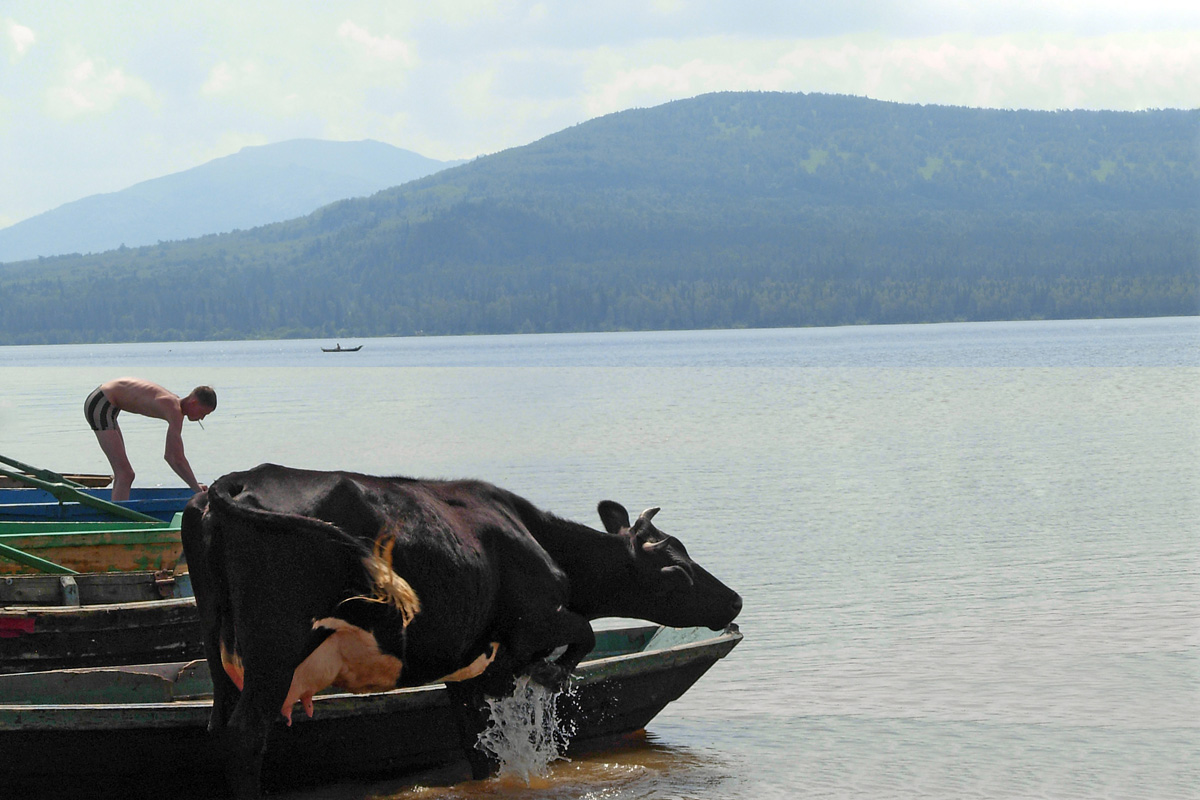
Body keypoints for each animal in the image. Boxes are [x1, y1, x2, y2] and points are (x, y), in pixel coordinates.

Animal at [182, 465, 739, 796]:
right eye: (675, 572)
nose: (734, 599)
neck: (538, 539)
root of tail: (235, 480)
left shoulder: (470, 669)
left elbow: (480, 751)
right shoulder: (535, 619)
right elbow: (583, 633)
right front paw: (549, 671)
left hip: (219, 649)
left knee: (221, 729)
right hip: (274, 648)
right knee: (247, 735)